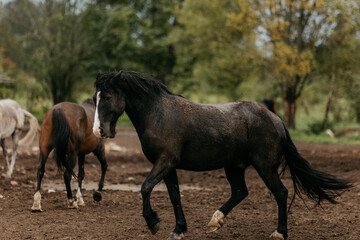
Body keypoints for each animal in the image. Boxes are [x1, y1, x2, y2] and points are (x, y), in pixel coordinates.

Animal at [91, 71, 350, 240]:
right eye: (95, 98)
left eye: (107, 97)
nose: (99, 131)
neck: (158, 115)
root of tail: (275, 119)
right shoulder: (168, 166)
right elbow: (175, 196)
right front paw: (178, 230)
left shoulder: (165, 162)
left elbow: (145, 188)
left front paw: (153, 223)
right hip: (234, 167)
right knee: (240, 192)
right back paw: (215, 221)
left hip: (265, 167)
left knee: (281, 193)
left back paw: (279, 233)